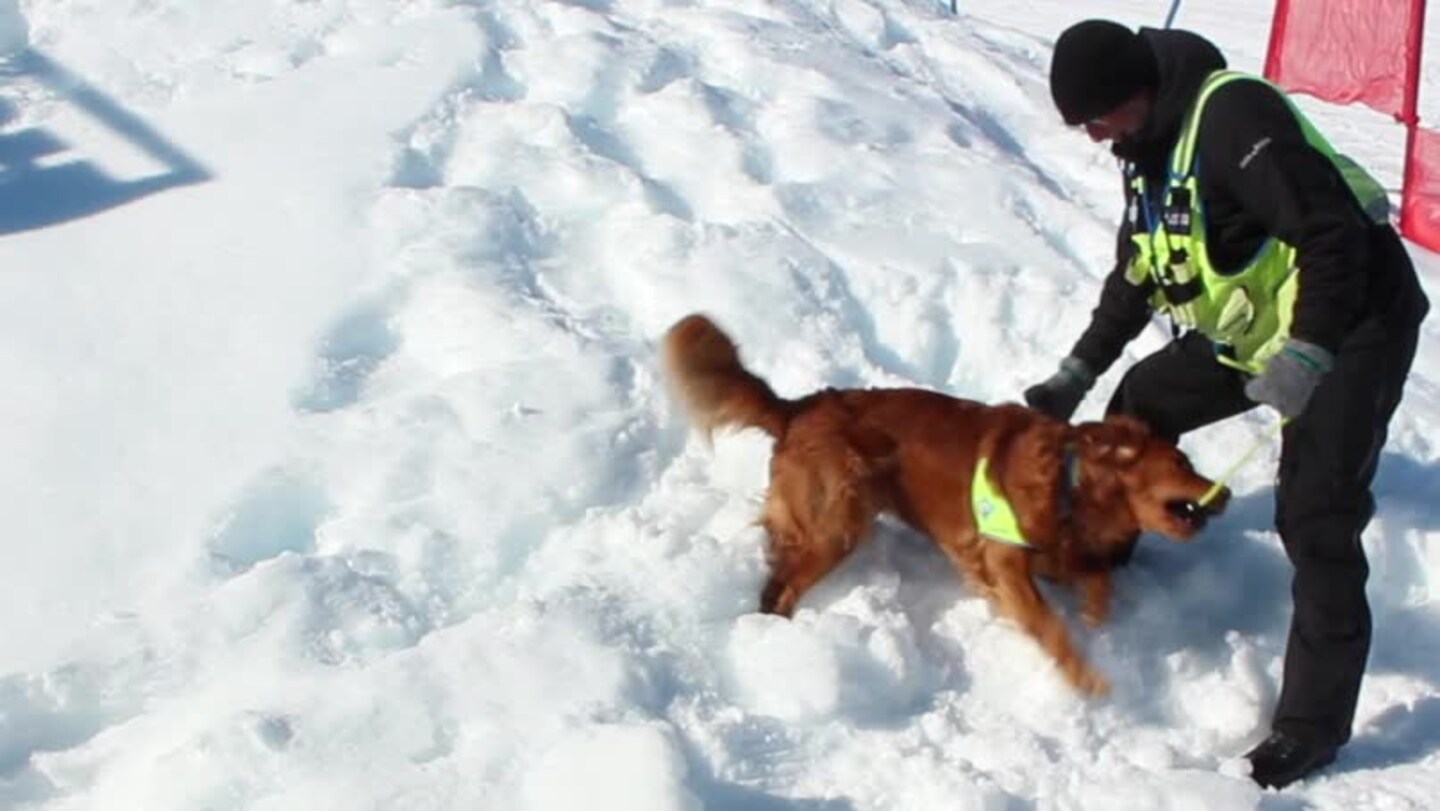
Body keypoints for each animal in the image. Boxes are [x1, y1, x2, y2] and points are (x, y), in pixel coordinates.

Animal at [662, 314, 1226, 694]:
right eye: (1182, 463)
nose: (1225, 492)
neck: (1070, 485)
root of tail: (799, 408)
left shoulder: (1057, 555)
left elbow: (1097, 582)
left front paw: (1095, 617)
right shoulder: (1004, 557)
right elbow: (1049, 625)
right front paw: (1086, 678)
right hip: (836, 525)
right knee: (778, 589)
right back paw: (776, 643)